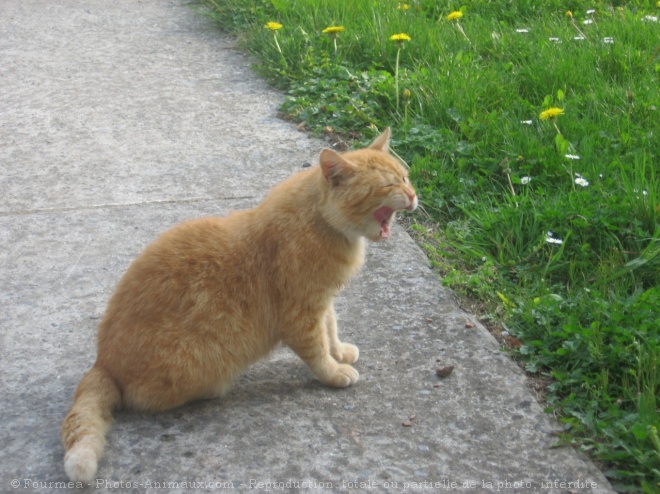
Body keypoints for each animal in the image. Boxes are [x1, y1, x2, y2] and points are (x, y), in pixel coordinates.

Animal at [59, 128, 416, 482]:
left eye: (406, 177)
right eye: (389, 185)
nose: (413, 196)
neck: (319, 220)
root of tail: (103, 363)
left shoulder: (322, 302)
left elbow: (331, 327)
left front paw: (339, 352)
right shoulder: (301, 315)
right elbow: (317, 350)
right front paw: (333, 371)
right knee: (144, 398)